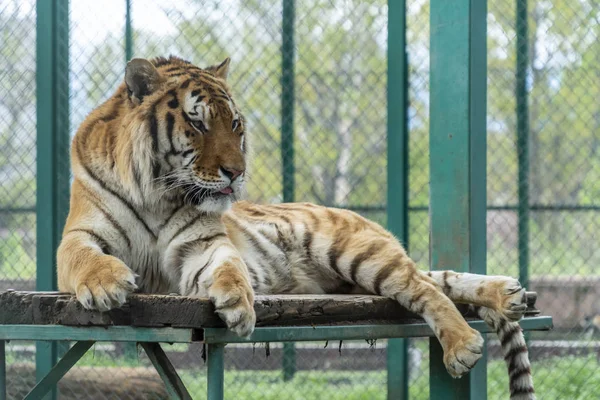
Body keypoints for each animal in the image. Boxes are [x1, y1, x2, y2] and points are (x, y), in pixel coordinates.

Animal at [57, 54, 536, 398]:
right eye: (197, 122)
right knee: (433, 278)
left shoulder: (203, 243)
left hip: (356, 252)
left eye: (234, 123)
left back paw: (465, 342)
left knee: (424, 286)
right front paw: (105, 284)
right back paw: (507, 295)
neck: (158, 191)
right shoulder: (80, 236)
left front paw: (239, 302)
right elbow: (82, 258)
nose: (236, 173)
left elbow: (228, 265)